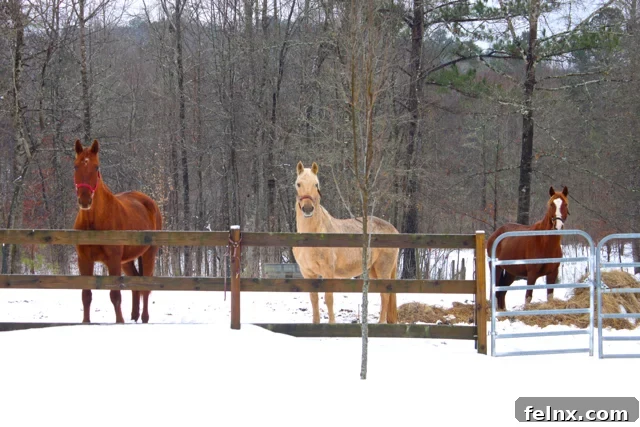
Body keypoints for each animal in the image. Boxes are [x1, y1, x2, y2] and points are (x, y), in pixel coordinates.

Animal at [73, 139, 163, 324]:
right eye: (76, 166)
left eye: (96, 167)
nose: (85, 200)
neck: (94, 224)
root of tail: (149, 202)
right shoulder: (84, 260)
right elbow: (86, 295)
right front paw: (86, 322)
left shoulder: (113, 261)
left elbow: (115, 295)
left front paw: (119, 322)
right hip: (126, 261)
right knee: (135, 282)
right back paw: (134, 316)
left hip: (149, 253)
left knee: (145, 286)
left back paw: (144, 317)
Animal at [292, 161, 400, 324]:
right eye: (298, 184)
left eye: (316, 184)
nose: (308, 208)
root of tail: (394, 230)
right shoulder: (308, 273)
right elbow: (314, 299)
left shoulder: (328, 271)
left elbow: (328, 298)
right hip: (373, 270)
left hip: (383, 269)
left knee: (385, 295)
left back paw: (380, 323)